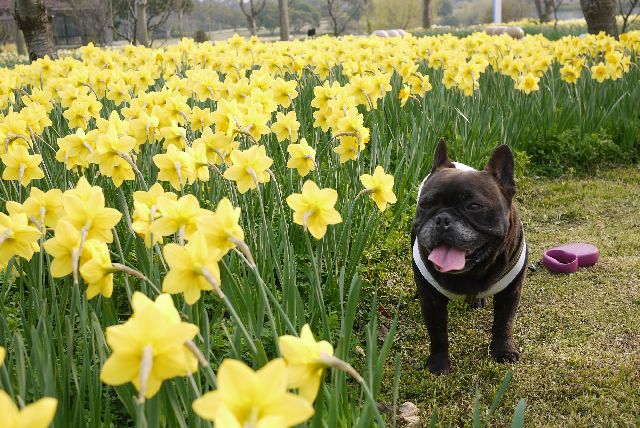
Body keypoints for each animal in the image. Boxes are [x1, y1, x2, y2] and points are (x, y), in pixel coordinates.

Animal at [412, 141, 528, 374]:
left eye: (474, 206)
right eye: (425, 205)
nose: (442, 219)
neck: (472, 271)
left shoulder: (511, 293)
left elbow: (504, 324)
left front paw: (503, 351)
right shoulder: (432, 302)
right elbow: (438, 334)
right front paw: (438, 364)